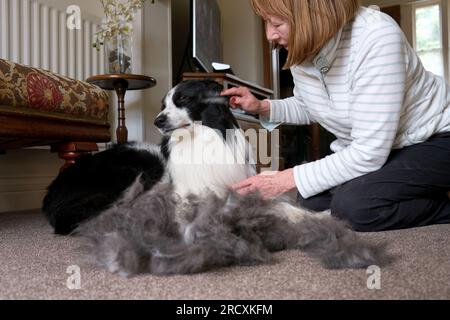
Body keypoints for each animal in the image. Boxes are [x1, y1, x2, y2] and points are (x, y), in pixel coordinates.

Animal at [42, 79, 384, 276]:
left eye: (183, 100)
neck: (201, 139)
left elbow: (284, 206)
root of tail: (51, 193)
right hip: (136, 167)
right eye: (163, 104)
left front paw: (316, 215)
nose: (157, 120)